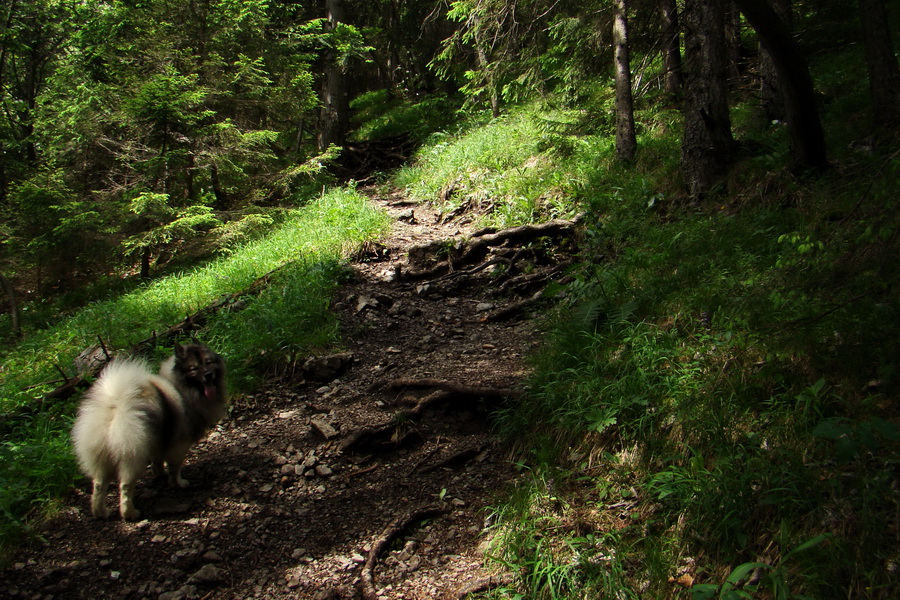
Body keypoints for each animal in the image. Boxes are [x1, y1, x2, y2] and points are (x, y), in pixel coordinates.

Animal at [72, 342, 227, 520]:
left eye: (208, 362)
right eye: (193, 368)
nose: (208, 375)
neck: (182, 389)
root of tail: (115, 407)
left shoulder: (159, 441)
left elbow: (158, 461)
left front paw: (160, 474)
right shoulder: (179, 446)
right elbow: (175, 468)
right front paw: (178, 483)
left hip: (103, 459)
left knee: (98, 485)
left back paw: (101, 512)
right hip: (133, 457)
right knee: (125, 487)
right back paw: (130, 513)